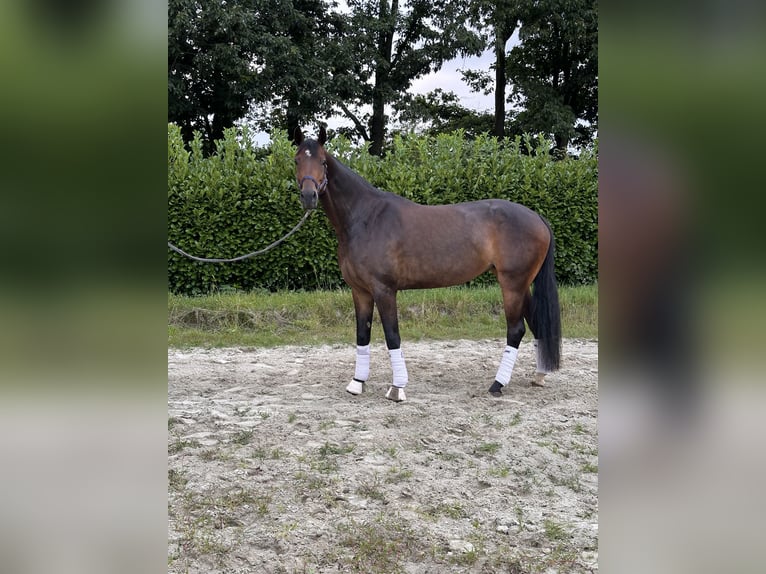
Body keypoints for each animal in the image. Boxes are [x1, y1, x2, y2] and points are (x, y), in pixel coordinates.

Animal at [292, 127, 560, 402]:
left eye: (323, 162)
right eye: (297, 160)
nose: (309, 196)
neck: (365, 218)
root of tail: (537, 217)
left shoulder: (384, 290)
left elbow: (392, 336)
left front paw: (397, 388)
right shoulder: (360, 291)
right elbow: (362, 334)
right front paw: (357, 383)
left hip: (512, 285)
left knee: (516, 330)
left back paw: (497, 384)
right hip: (521, 285)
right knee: (535, 323)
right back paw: (538, 376)